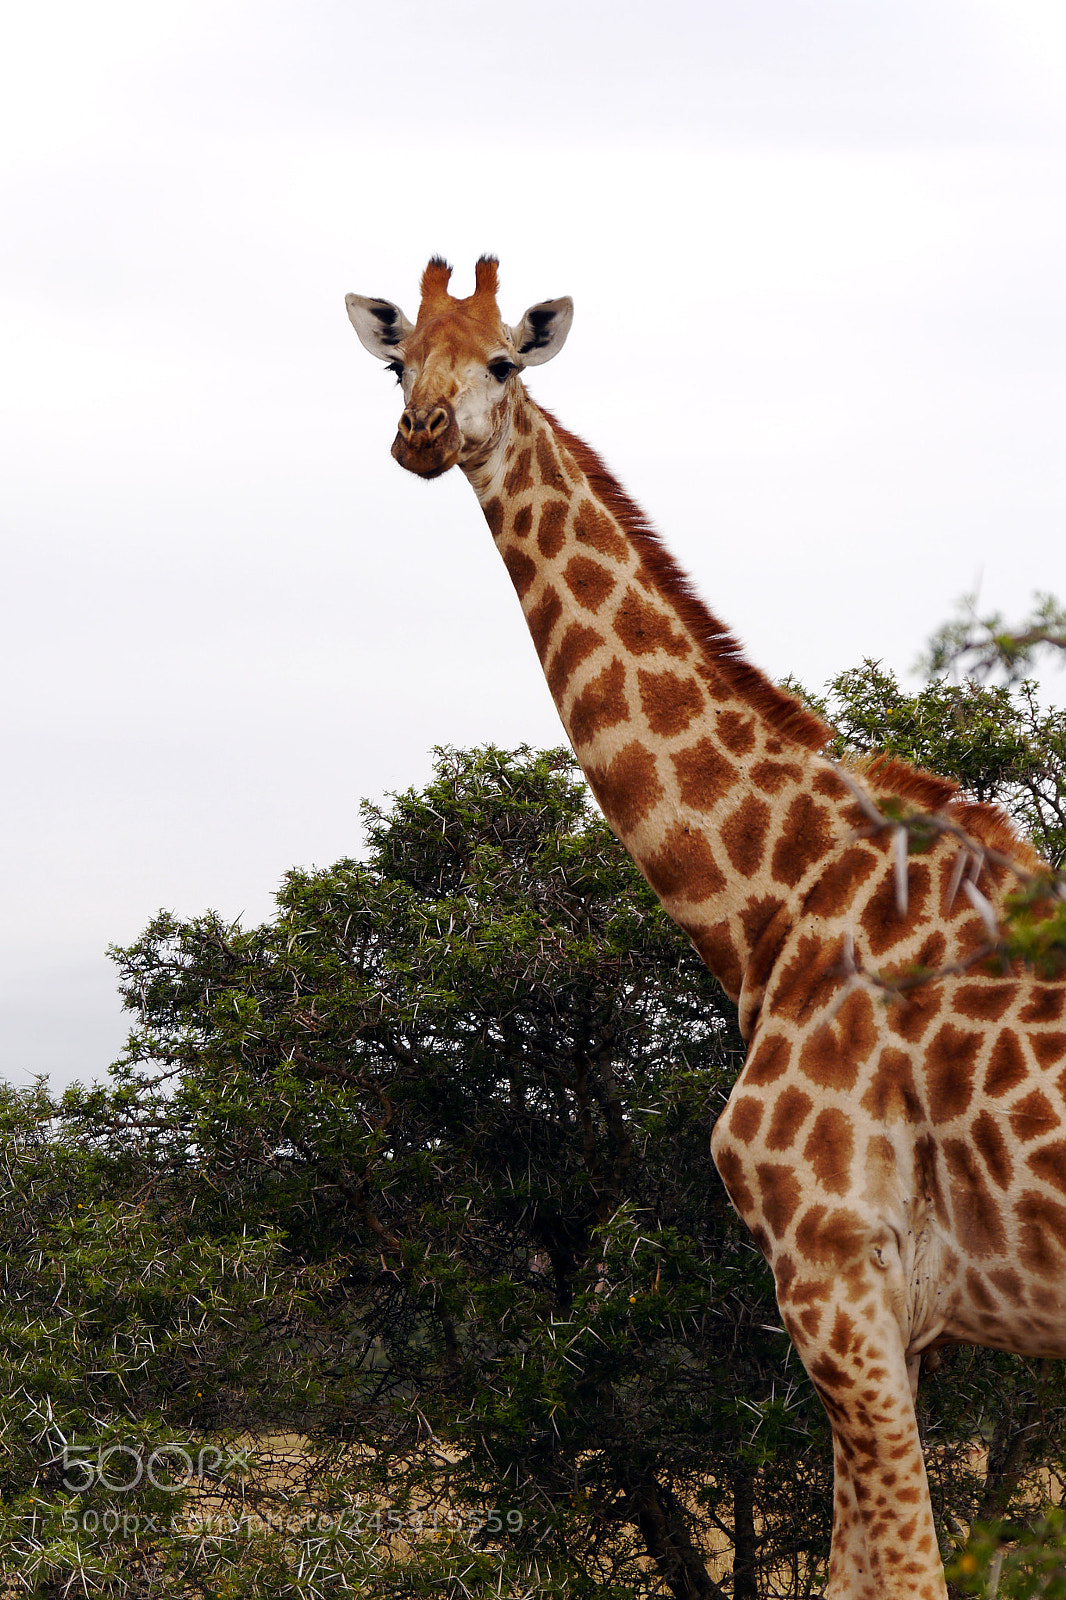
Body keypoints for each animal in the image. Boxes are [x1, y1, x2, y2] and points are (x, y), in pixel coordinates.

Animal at [346, 256, 1066, 1599]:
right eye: (396, 359)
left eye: (504, 362)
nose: (421, 436)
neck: (773, 899)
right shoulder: (880, 1307)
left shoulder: (832, 1262)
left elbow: (900, 1574)